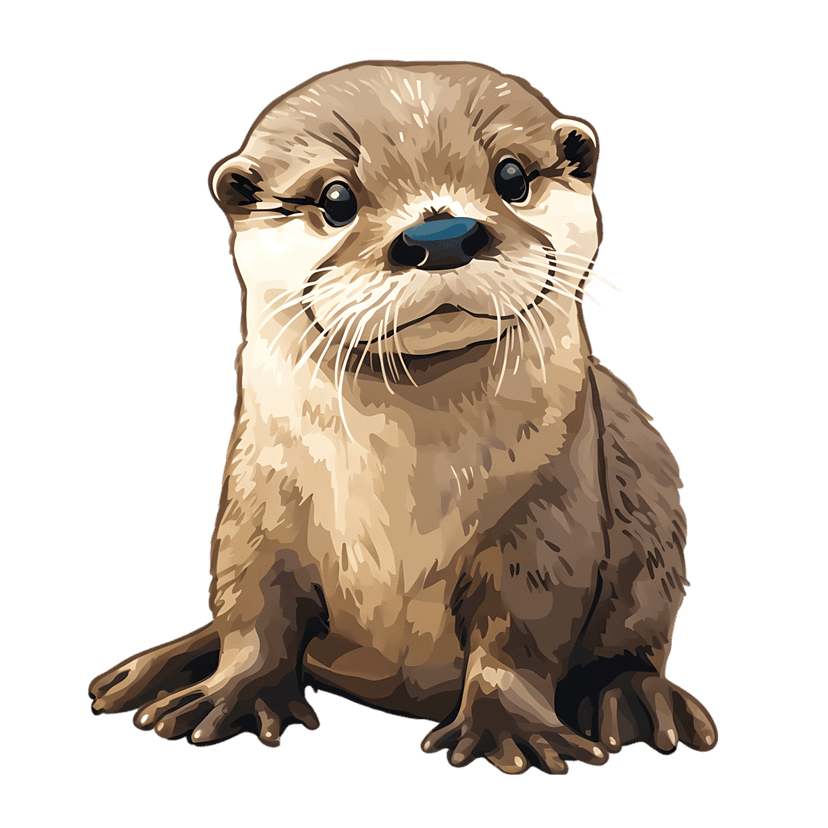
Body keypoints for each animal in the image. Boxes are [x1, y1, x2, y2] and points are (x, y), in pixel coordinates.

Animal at [88, 60, 718, 774]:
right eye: (336, 199)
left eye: (512, 177)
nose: (440, 235)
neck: (404, 488)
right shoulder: (259, 495)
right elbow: (253, 603)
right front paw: (229, 697)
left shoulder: (550, 512)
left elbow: (523, 631)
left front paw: (510, 726)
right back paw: (144, 673)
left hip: (651, 517)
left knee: (634, 641)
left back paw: (633, 699)